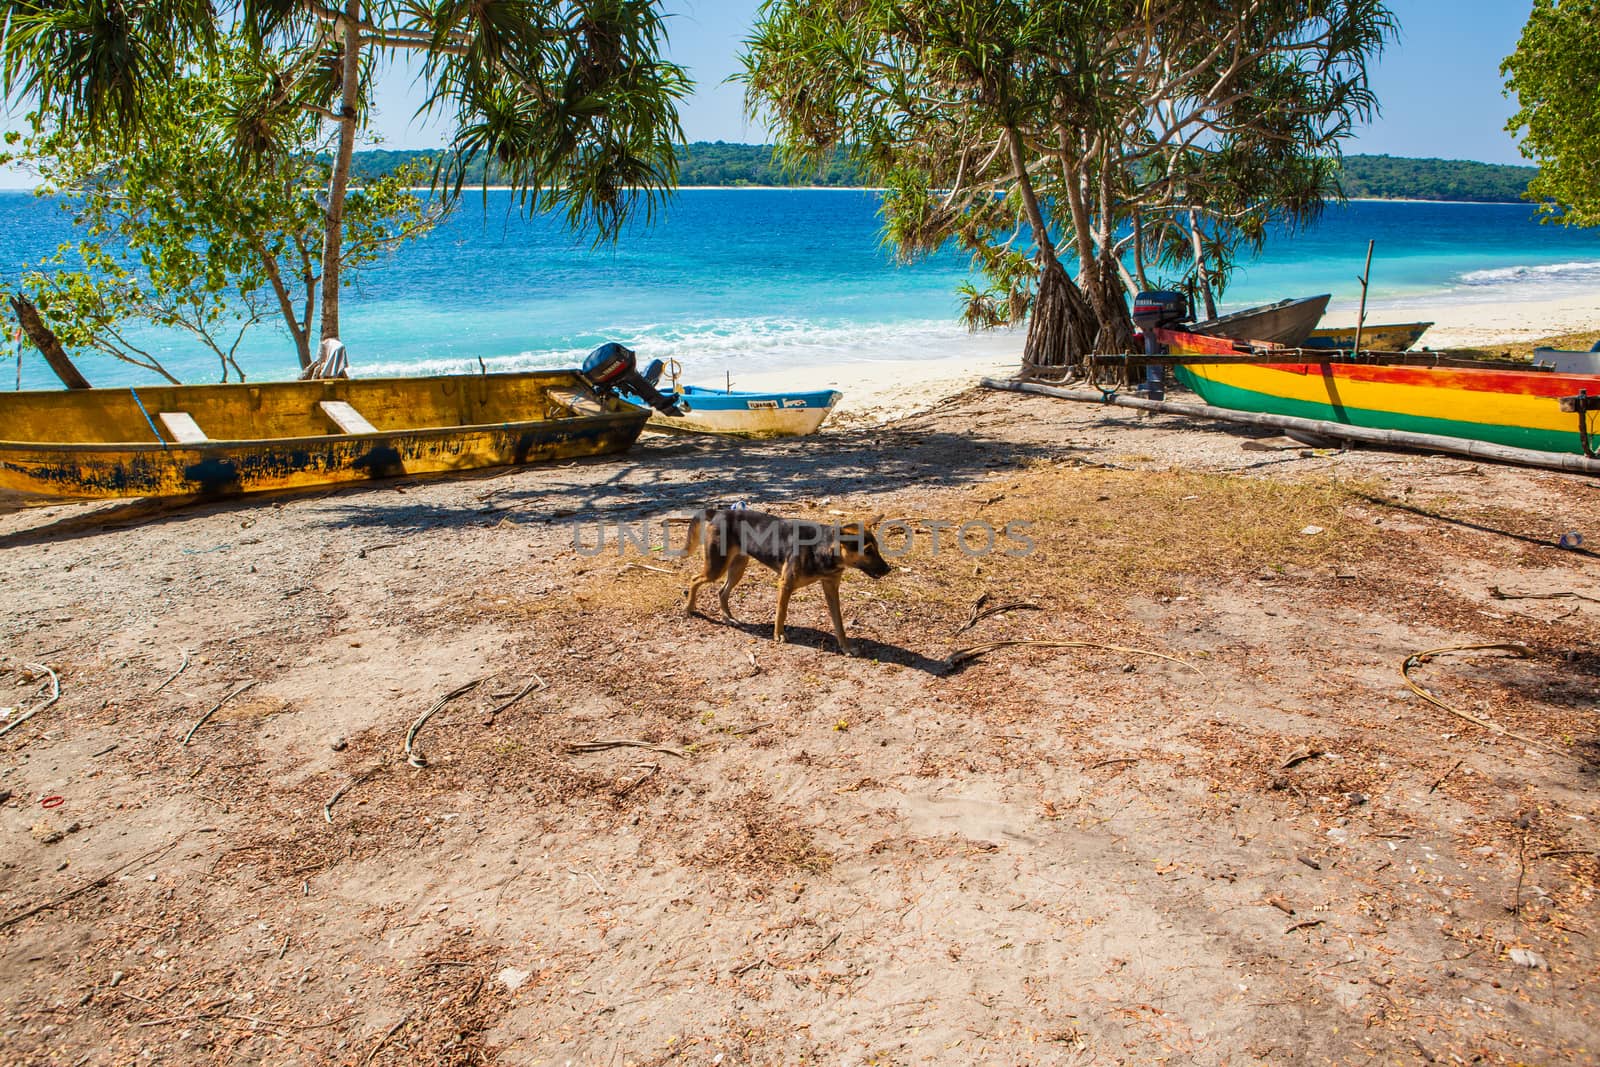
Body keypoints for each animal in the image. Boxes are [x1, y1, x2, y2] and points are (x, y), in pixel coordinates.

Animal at [681, 505, 896, 655]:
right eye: (867, 551)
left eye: (877, 548)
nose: (888, 569)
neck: (823, 548)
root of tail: (719, 512)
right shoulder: (785, 584)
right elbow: (781, 613)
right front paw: (779, 635)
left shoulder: (831, 587)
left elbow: (839, 623)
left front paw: (846, 647)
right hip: (716, 567)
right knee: (694, 579)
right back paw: (689, 608)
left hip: (737, 567)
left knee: (721, 591)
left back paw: (728, 617)